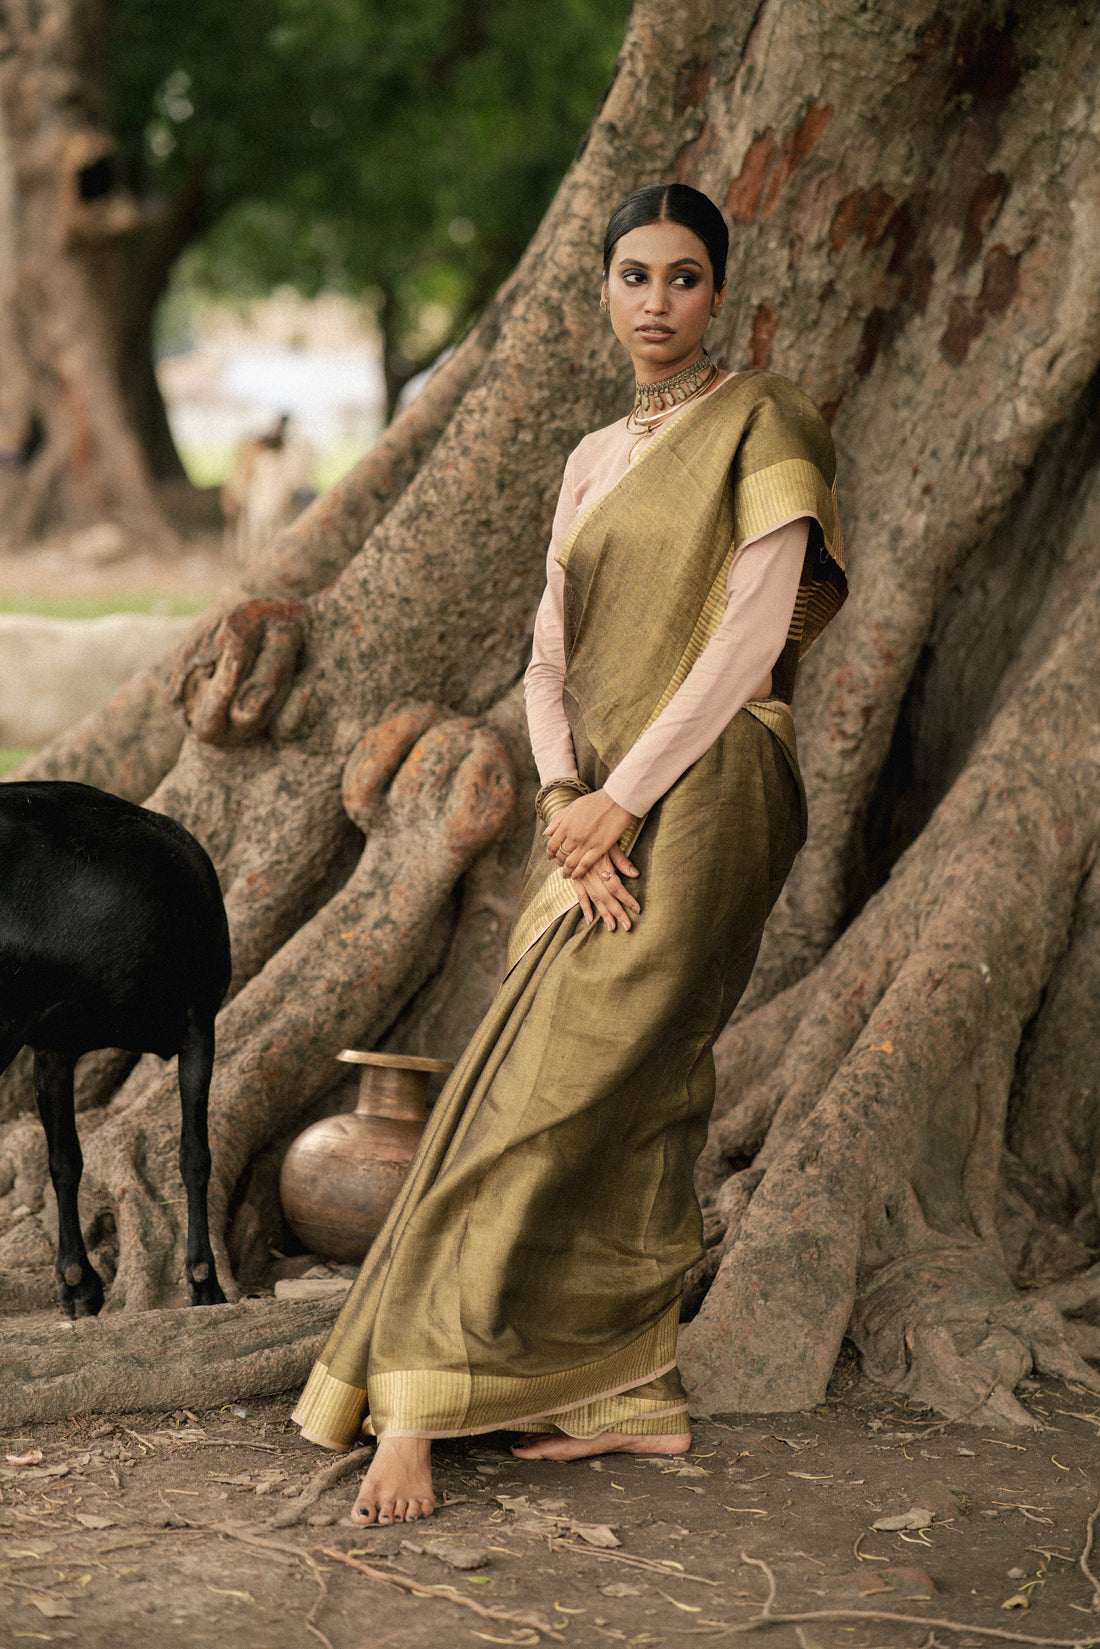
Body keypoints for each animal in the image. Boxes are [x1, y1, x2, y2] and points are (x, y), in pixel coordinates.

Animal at [1, 781, 230, 1312]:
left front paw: (77, 1281)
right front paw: (205, 1280)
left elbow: (65, 1160)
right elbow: (195, 1154)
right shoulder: (200, 1017)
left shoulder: (52, 1048)